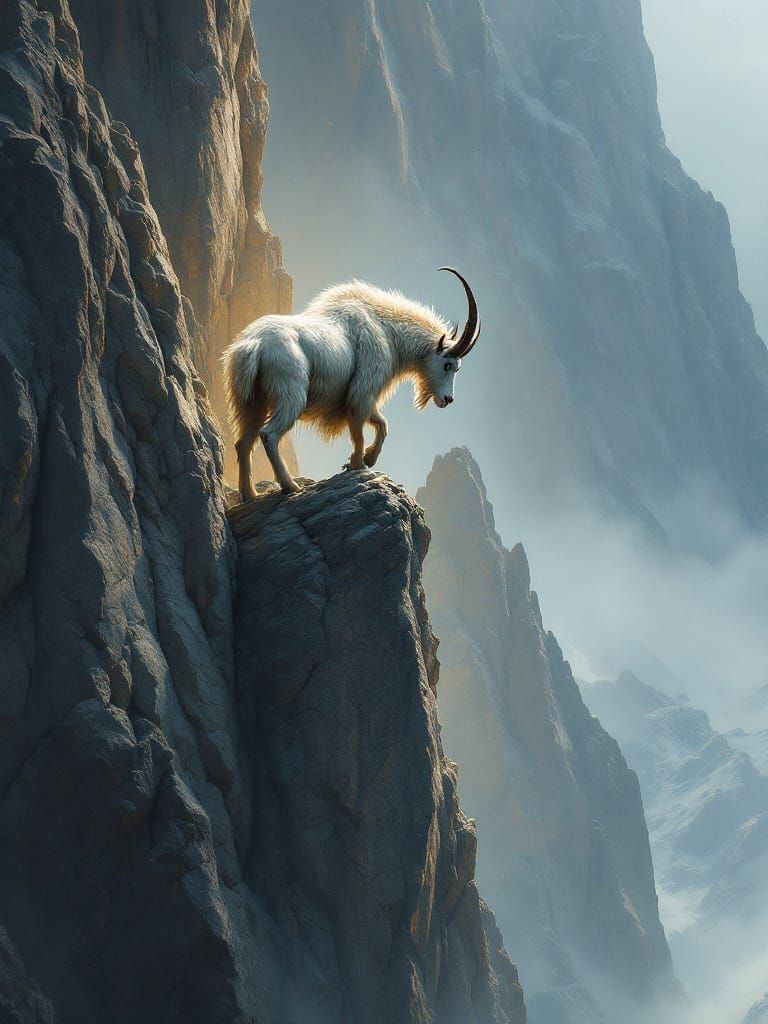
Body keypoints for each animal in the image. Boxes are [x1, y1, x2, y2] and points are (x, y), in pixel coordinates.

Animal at [222, 268, 481, 498]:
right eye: (448, 365)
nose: (447, 399)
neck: (386, 328)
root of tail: (254, 345)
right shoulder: (363, 390)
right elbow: (360, 430)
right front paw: (359, 463)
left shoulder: (361, 398)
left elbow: (381, 424)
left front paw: (367, 458)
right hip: (290, 396)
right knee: (269, 434)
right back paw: (289, 486)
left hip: (251, 402)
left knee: (243, 443)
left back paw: (249, 494)